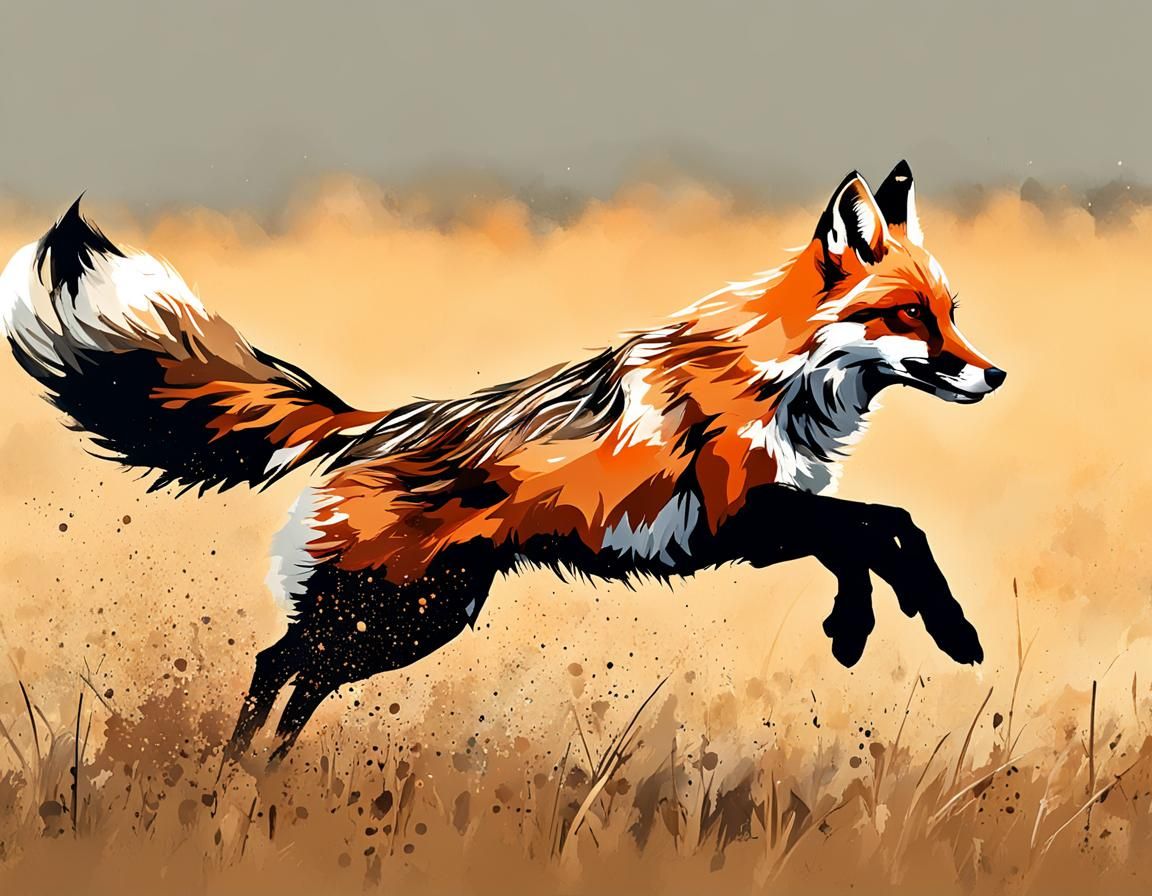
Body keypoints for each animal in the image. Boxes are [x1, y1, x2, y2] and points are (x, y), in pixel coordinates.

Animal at [0, 161, 1005, 767]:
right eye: (909, 316)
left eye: (951, 312)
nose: (992, 375)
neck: (779, 376)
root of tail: (371, 421)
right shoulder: (738, 520)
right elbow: (884, 529)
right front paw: (939, 631)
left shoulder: (763, 521)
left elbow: (871, 539)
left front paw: (864, 629)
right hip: (392, 610)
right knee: (273, 660)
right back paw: (237, 776)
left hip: (414, 618)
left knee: (294, 674)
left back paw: (259, 780)